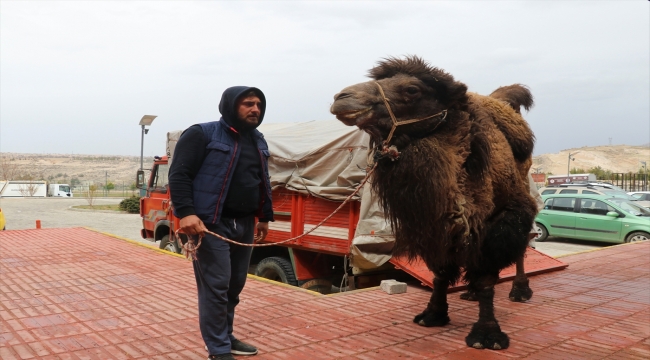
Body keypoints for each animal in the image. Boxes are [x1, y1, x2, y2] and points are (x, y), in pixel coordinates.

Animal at [330, 55, 536, 348]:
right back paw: (470, 293)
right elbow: (439, 272)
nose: (342, 98)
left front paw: (487, 334)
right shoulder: (434, 224)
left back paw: (520, 291)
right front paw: (432, 315)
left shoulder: (503, 218)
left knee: (521, 246)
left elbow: (487, 277)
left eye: (412, 89)